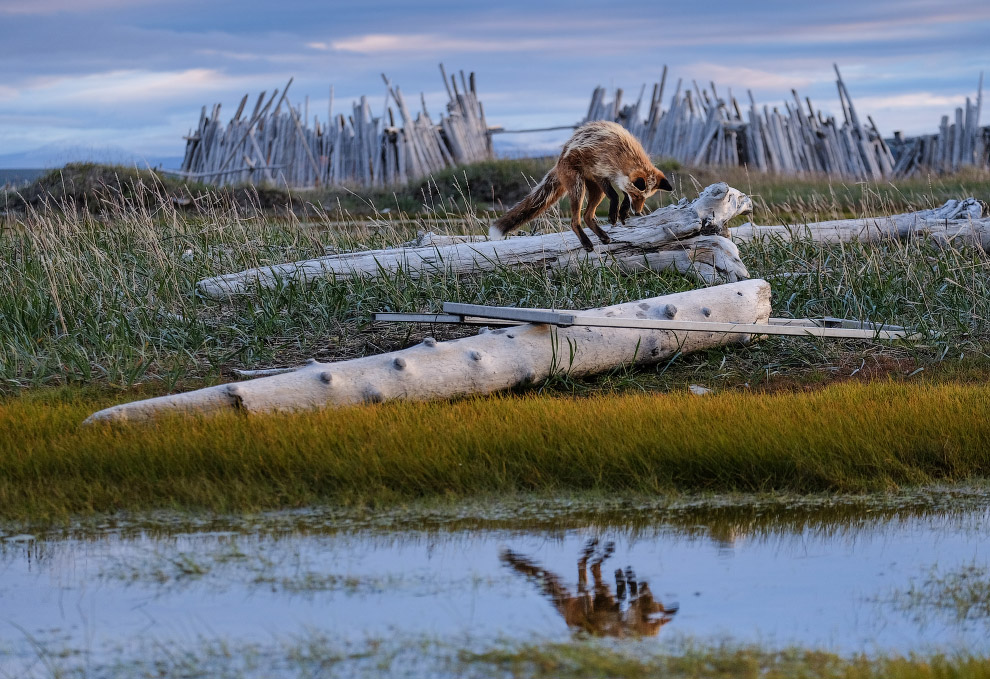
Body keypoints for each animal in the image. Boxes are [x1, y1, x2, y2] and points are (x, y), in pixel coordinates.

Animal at [488, 121, 676, 251]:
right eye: (638, 196)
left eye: (645, 199)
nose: (638, 212)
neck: (622, 155)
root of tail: (559, 160)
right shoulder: (600, 173)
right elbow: (615, 196)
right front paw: (614, 214)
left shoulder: (616, 180)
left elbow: (623, 195)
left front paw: (622, 212)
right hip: (579, 188)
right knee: (575, 221)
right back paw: (586, 242)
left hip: (597, 192)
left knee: (587, 216)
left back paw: (603, 236)